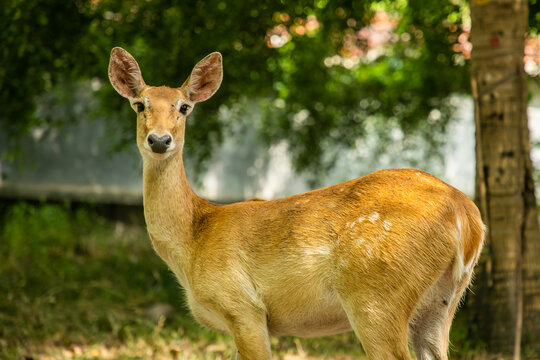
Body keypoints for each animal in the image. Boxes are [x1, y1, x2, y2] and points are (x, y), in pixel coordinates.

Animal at [108, 46, 486, 358]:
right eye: (140, 104)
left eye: (184, 107)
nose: (159, 140)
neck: (193, 240)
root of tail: (468, 217)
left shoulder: (243, 306)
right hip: (442, 302)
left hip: (377, 296)